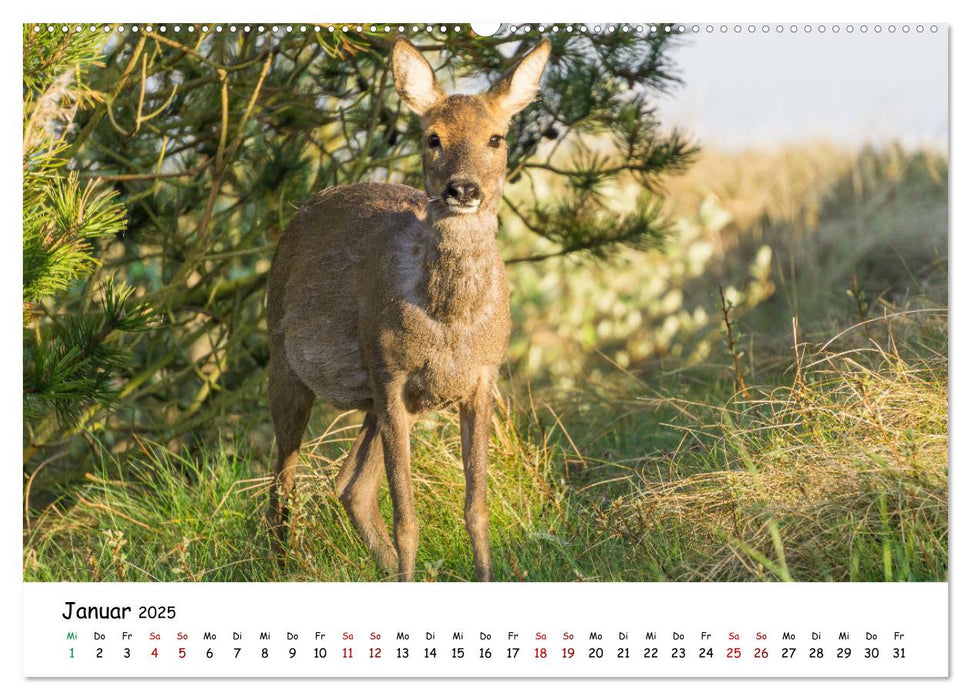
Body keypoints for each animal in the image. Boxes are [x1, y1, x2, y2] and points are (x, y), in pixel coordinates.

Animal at [270, 35, 552, 584]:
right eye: (432, 138)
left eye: (496, 138)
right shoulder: (390, 374)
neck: (450, 323)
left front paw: (485, 577)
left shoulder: (481, 379)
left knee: (349, 485)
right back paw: (275, 567)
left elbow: (476, 508)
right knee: (282, 483)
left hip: (379, 400)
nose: (463, 189)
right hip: (286, 360)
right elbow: (408, 517)